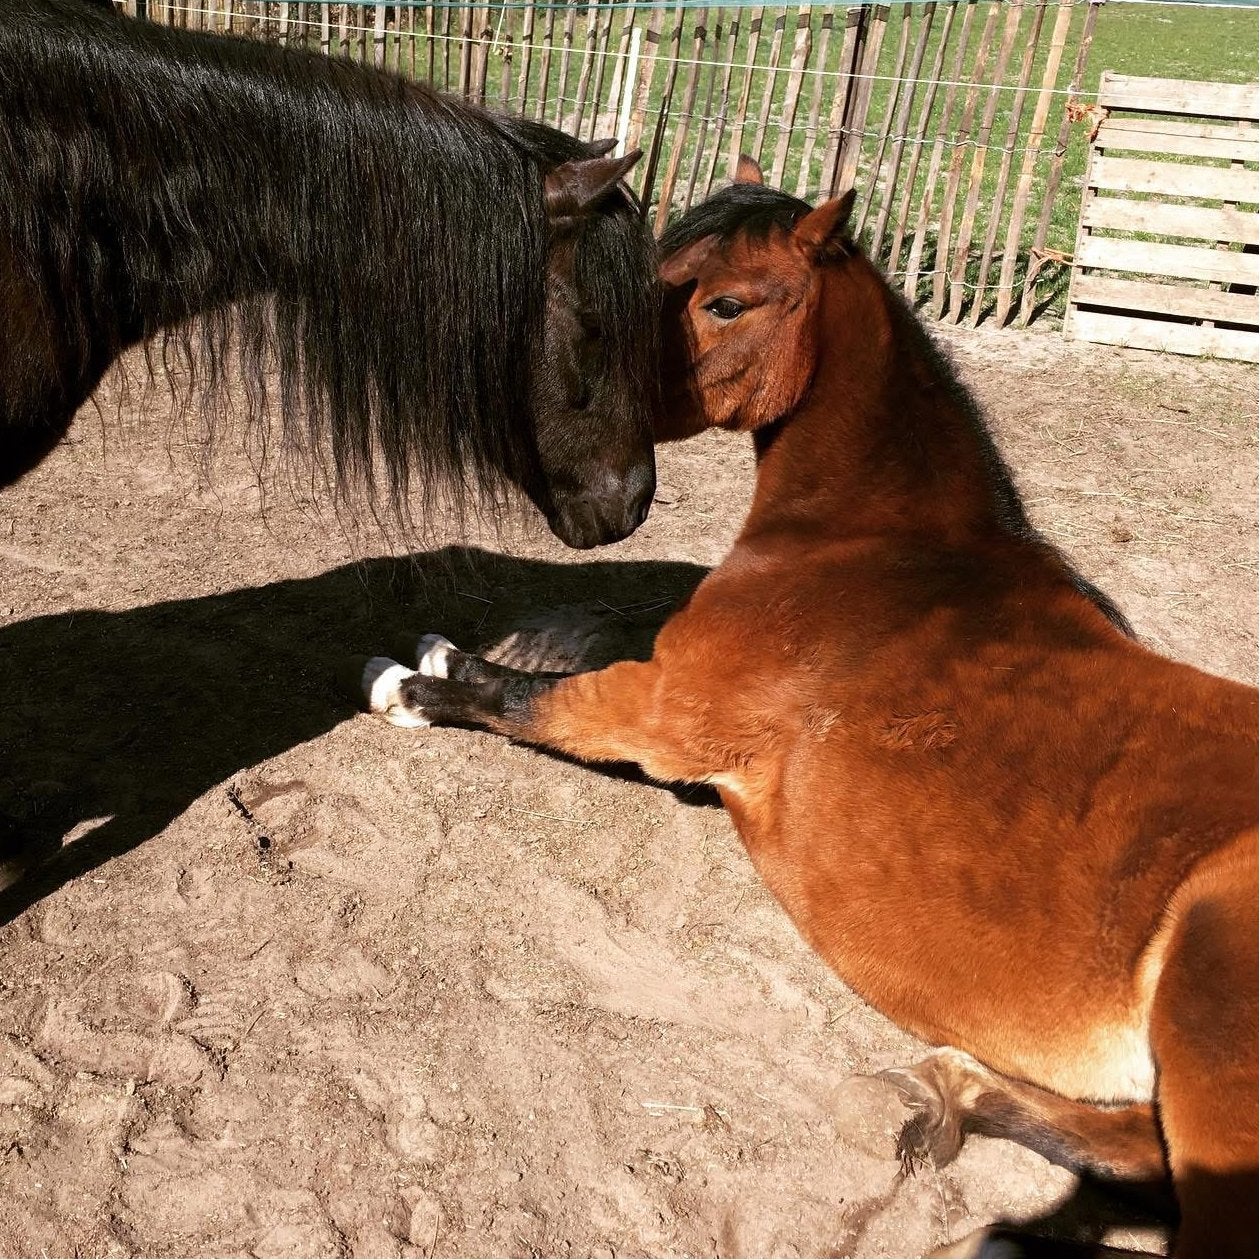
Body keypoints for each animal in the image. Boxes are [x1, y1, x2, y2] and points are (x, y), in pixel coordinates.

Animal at [357, 161, 1259, 1257]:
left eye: (725, 302)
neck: (874, 548)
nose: (586, 432)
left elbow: (524, 697)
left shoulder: (663, 715)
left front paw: (414, 678)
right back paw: (945, 1098)